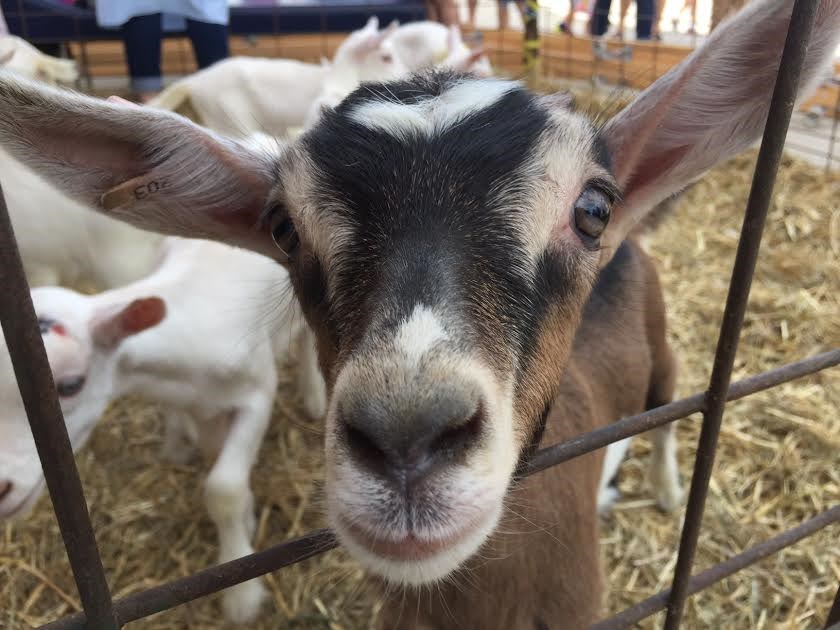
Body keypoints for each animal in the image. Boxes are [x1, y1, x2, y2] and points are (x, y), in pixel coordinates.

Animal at [0, 238, 326, 628]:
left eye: (70, 385)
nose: (1, 489)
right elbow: (209, 447)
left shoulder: (258, 394)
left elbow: (224, 489)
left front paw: (242, 597)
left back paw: (315, 395)